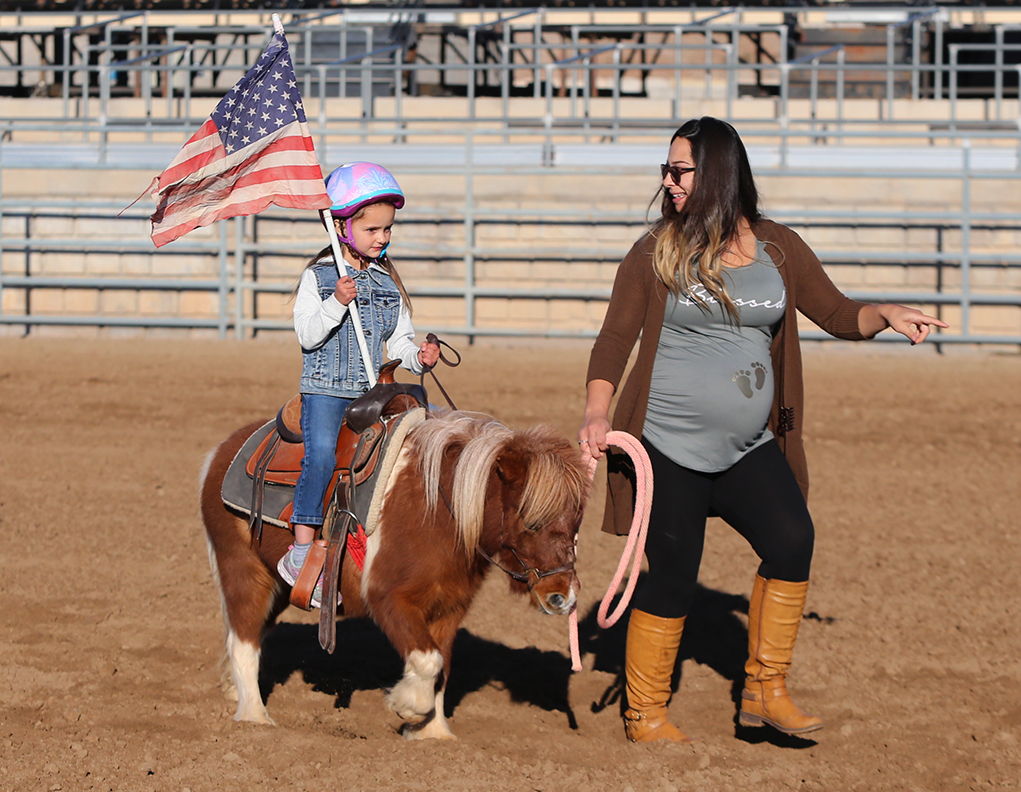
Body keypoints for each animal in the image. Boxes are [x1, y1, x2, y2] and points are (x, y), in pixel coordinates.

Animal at [199, 412, 588, 738]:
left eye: (576, 522)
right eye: (531, 521)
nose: (562, 596)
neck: (439, 512)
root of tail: (219, 454)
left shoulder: (450, 608)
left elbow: (442, 668)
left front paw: (433, 734)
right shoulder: (389, 599)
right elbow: (428, 661)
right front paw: (407, 706)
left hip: (278, 587)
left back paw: (234, 690)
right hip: (243, 570)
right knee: (243, 639)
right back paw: (255, 717)